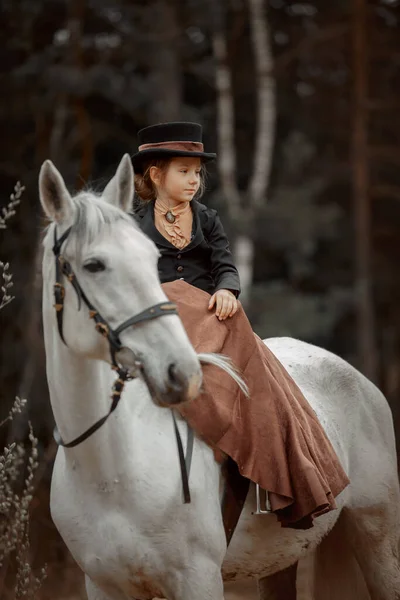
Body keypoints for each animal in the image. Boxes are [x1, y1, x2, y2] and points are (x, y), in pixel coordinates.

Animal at [39, 156, 400, 600]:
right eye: (94, 264)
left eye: (147, 258)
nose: (182, 372)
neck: (113, 471)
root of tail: (361, 382)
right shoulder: (103, 586)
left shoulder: (199, 579)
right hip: (281, 559)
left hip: (376, 537)